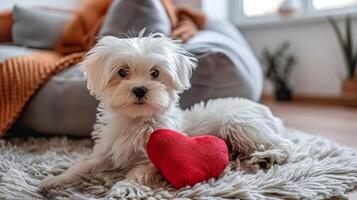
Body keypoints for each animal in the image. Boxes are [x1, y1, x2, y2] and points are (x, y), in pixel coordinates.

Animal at [40, 31, 292, 191]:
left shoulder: (155, 156)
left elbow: (137, 172)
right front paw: (55, 180)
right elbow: (83, 165)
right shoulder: (106, 152)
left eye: (155, 73)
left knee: (284, 145)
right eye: (122, 72)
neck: (136, 121)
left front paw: (123, 188)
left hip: (239, 123)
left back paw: (267, 157)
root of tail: (267, 112)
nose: (140, 89)